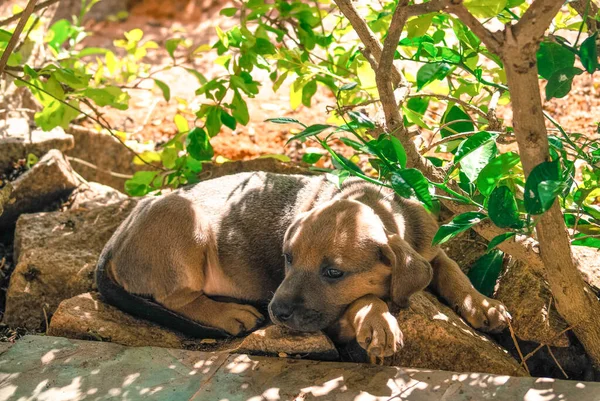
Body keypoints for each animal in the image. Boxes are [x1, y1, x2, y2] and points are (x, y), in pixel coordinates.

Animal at [96, 172, 508, 360]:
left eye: (333, 273)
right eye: (288, 258)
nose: (276, 312)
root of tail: (116, 237)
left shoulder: (431, 251)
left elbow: (453, 274)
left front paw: (484, 305)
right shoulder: (334, 318)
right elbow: (365, 300)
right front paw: (379, 323)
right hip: (186, 221)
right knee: (176, 297)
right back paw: (229, 314)